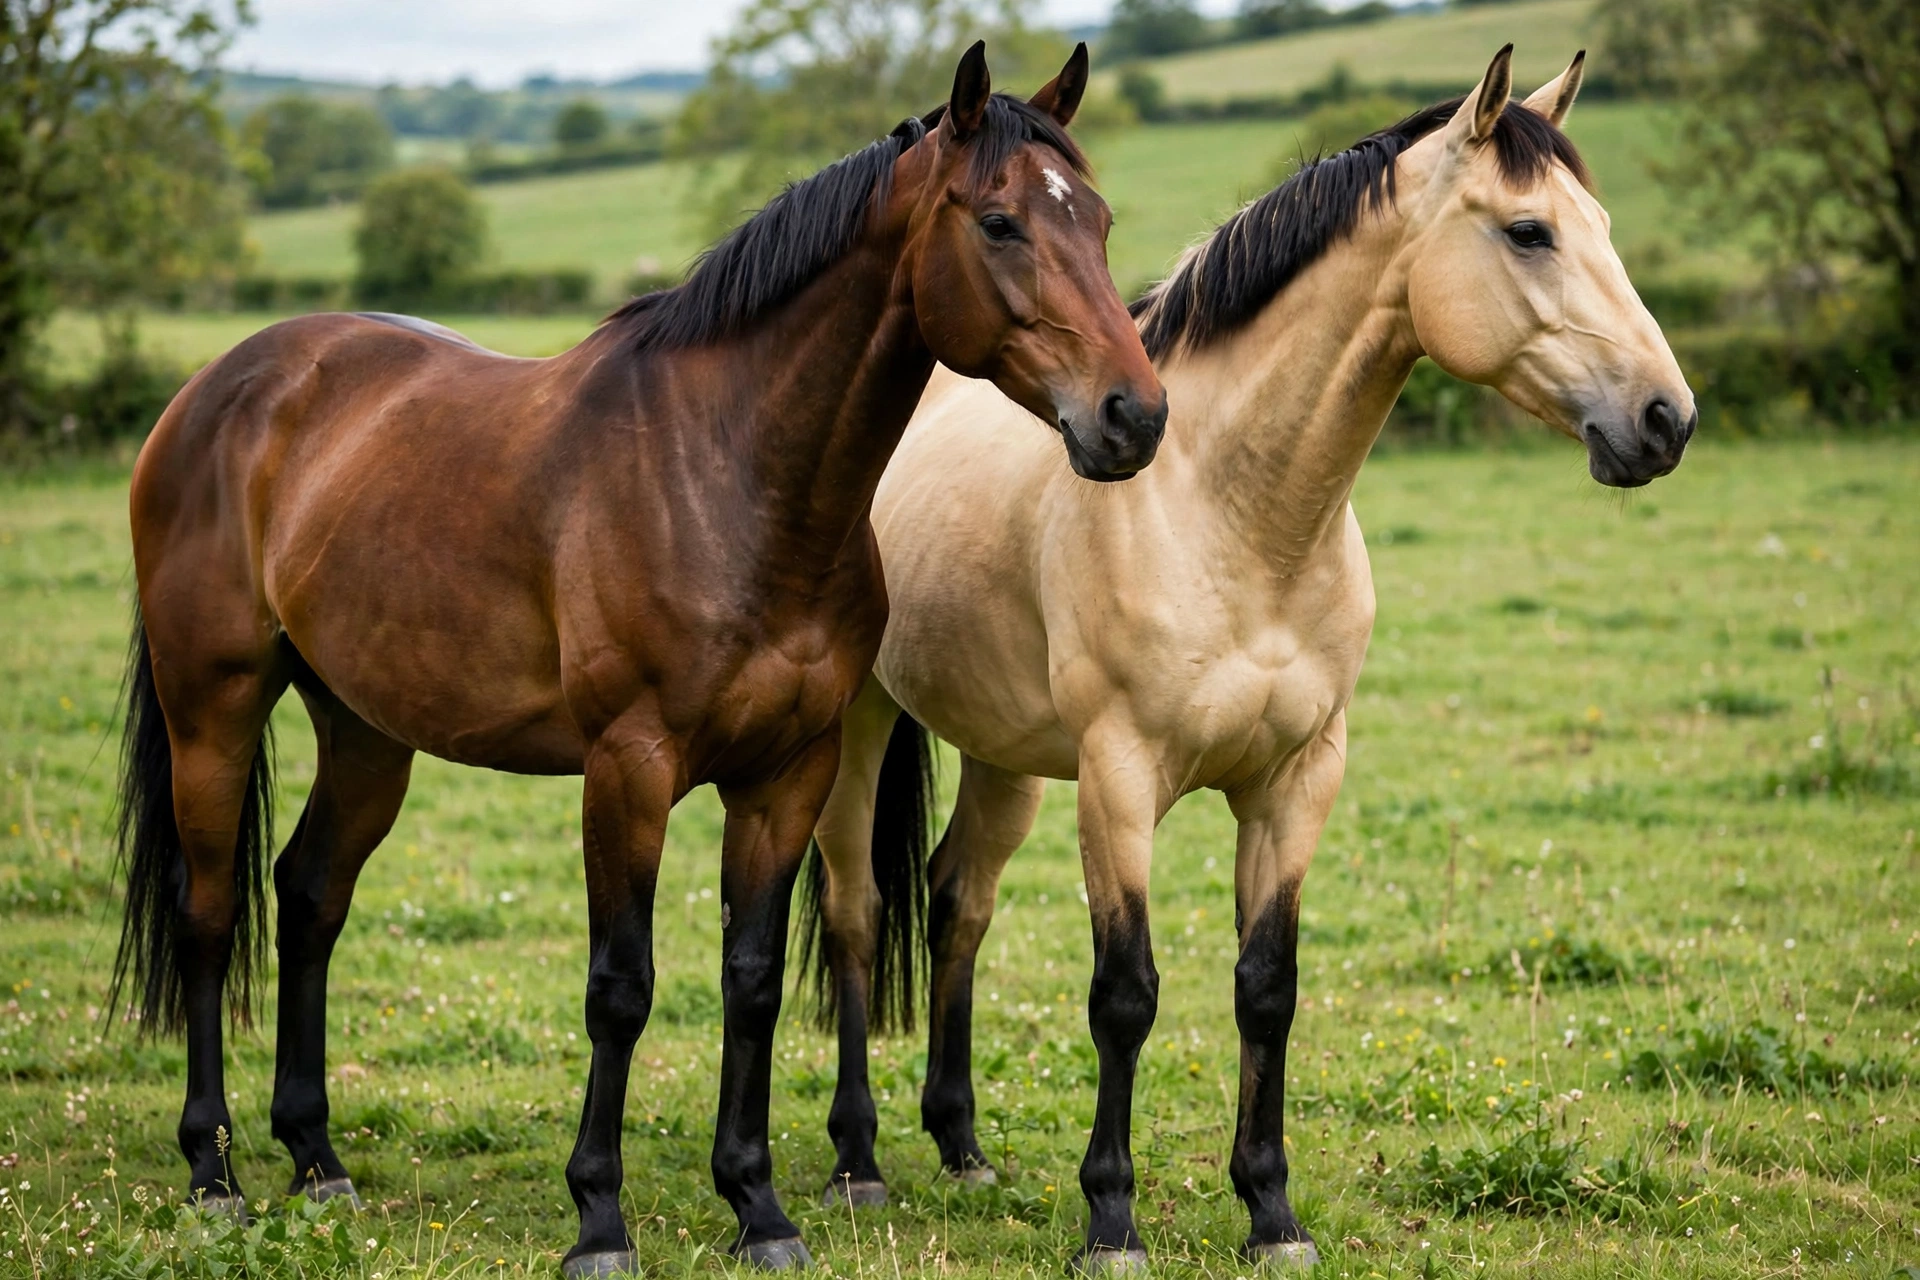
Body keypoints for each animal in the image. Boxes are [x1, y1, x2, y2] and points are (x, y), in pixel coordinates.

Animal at [110, 42, 1167, 1277]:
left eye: (1097, 219)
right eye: (1000, 223)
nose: (1134, 416)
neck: (731, 473)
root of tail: (214, 392)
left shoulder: (787, 773)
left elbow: (751, 980)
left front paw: (758, 1205)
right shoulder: (629, 767)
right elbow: (622, 987)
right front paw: (600, 1218)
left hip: (367, 732)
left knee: (309, 894)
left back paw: (318, 1160)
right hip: (213, 708)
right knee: (209, 911)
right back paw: (214, 1175)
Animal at [802, 46, 1694, 1272]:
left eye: (1599, 225)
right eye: (1529, 232)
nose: (1667, 419)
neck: (1230, 512)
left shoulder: (1296, 778)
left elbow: (1267, 987)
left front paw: (1272, 1211)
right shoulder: (1121, 778)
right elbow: (1124, 994)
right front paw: (1112, 1219)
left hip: (1007, 755)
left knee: (955, 902)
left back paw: (962, 1145)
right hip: (862, 729)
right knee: (858, 910)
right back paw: (859, 1162)